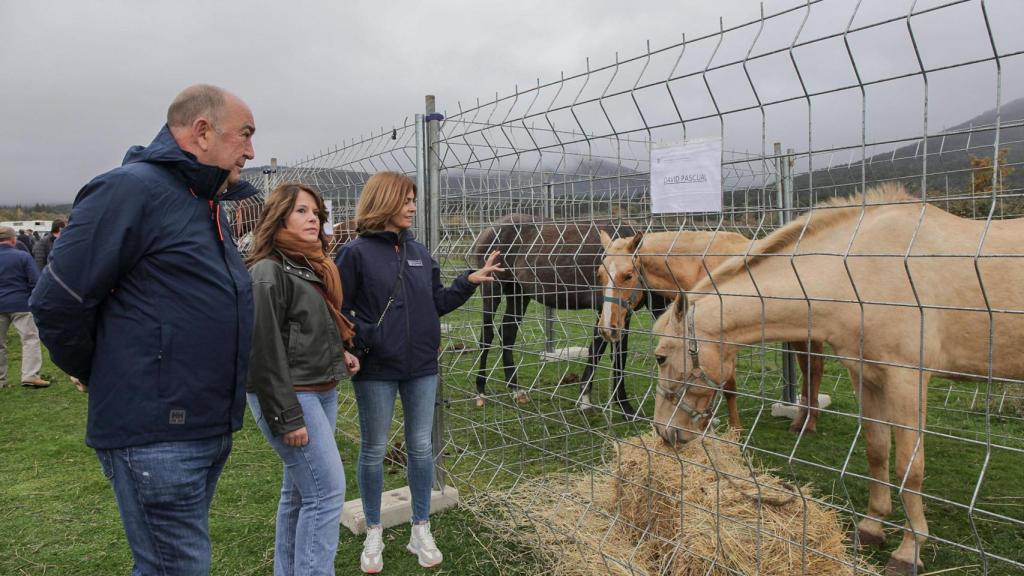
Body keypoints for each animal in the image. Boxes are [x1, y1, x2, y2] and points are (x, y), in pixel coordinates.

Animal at [468, 213, 667, 414]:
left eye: (628, 275)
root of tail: (489, 229)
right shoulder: (605, 312)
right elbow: (603, 353)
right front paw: (605, 403)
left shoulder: (621, 316)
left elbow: (614, 354)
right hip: (491, 289)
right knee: (487, 335)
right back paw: (480, 392)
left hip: (518, 294)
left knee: (507, 333)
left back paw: (516, 390)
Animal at [598, 228, 827, 430]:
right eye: (600, 274)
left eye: (628, 275)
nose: (607, 328)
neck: (701, 267)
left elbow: (729, 388)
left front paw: (735, 431)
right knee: (809, 367)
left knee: (813, 368)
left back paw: (808, 423)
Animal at [655, 182, 1024, 569]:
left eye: (660, 357)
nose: (663, 431)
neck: (861, 273)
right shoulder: (866, 377)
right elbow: (877, 450)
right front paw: (872, 527)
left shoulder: (907, 381)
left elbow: (910, 468)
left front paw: (909, 550)